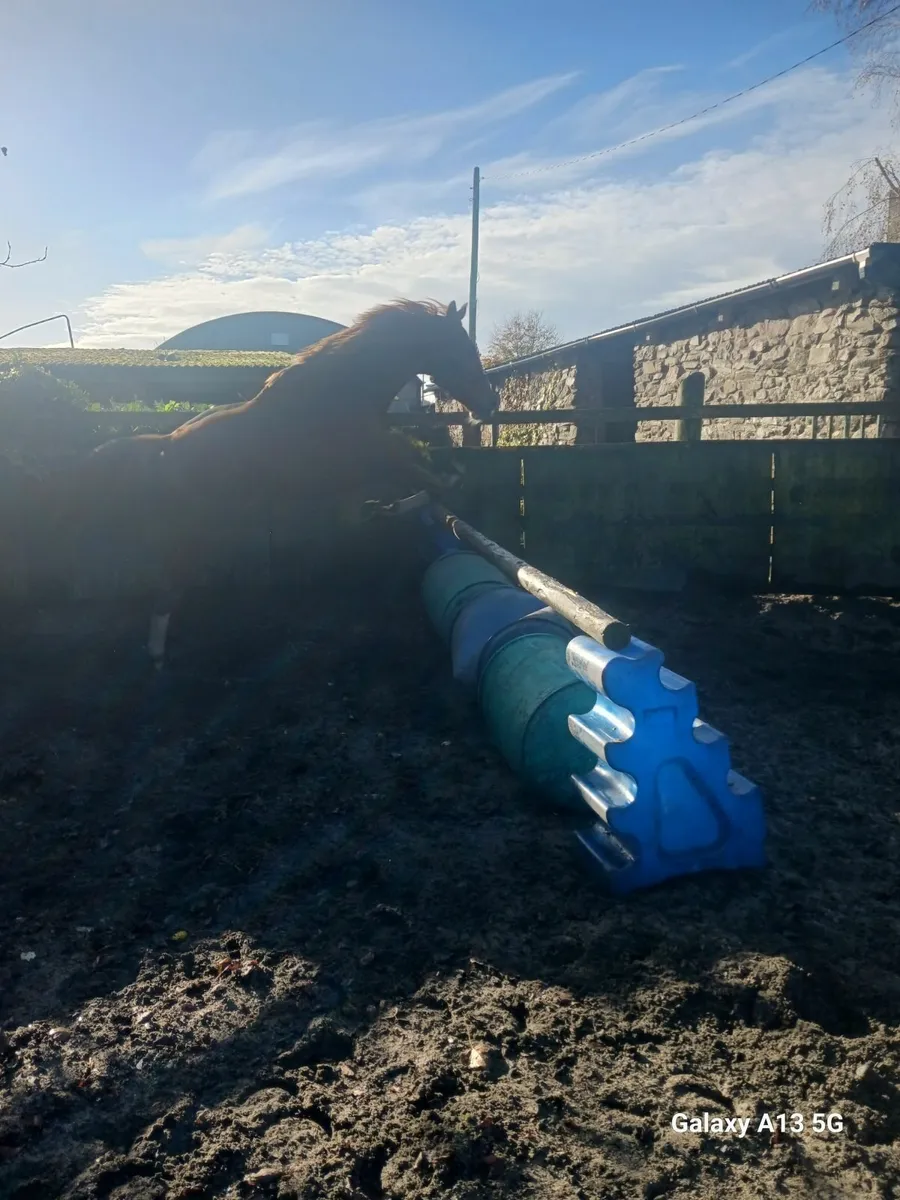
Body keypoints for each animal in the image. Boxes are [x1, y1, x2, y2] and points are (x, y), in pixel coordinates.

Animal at [37, 298, 495, 670]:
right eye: (460, 348)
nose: (489, 405)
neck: (337, 397)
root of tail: (164, 451)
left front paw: (384, 507)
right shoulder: (368, 458)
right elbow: (430, 478)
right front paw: (404, 500)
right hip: (192, 532)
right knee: (168, 587)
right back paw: (158, 654)